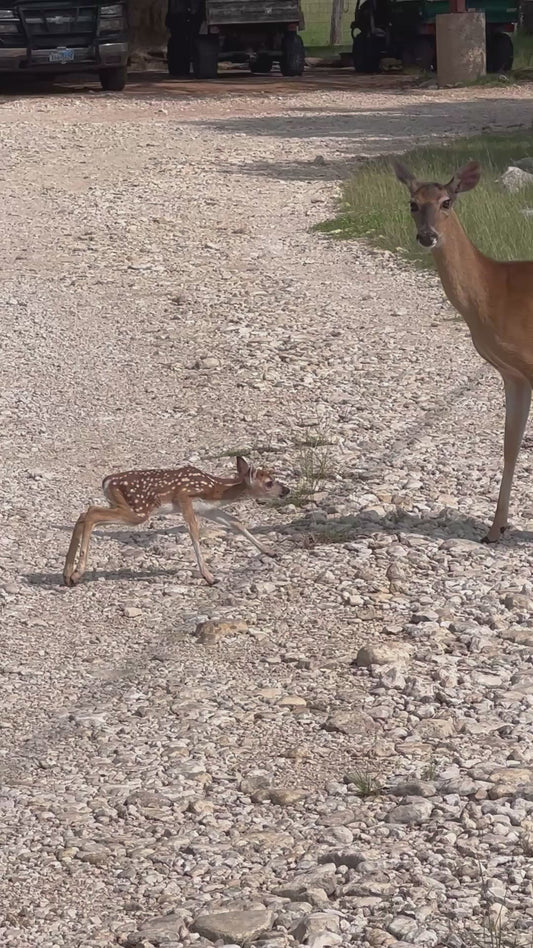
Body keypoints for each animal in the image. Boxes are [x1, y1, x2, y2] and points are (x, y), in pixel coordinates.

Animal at [63, 456, 290, 588]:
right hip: (138, 511)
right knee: (92, 514)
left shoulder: (207, 508)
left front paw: (270, 551)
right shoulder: (184, 497)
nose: (287, 490)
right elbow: (194, 531)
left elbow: (235, 522)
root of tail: (106, 481)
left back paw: (67, 574)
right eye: (269, 483)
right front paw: (209, 576)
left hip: (124, 506)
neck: (215, 490)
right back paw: (77, 574)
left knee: (84, 514)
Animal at [393, 157, 533, 544]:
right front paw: (495, 529)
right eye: (412, 203)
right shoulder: (514, 375)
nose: (427, 236)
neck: (493, 291)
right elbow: (510, 445)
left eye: (446, 202)